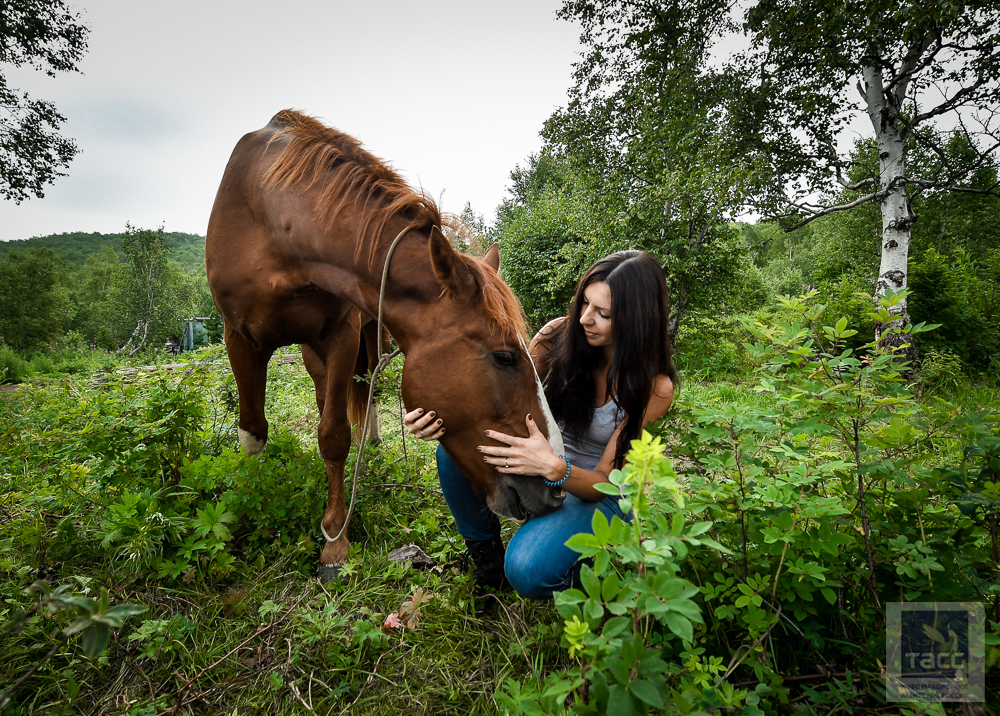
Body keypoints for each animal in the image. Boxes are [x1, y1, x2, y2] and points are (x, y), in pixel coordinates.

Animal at [207, 112, 568, 580]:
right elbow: (253, 431)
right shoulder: (240, 339)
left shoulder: (339, 334)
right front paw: (253, 503)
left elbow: (334, 434)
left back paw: (373, 445)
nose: (556, 485)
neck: (275, 222)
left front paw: (334, 541)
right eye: (505, 357)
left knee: (363, 392)